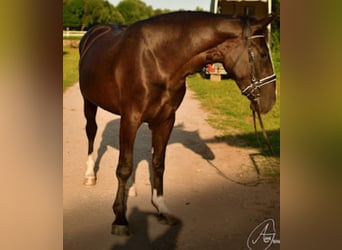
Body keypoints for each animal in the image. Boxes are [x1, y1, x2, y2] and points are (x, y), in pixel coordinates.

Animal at [78, 11, 276, 234]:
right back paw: (89, 175)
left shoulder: (165, 120)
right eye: (263, 55)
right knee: (92, 133)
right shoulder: (131, 119)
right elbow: (124, 167)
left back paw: (130, 187)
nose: (270, 100)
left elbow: (157, 163)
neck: (157, 60)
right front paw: (120, 218)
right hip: (89, 102)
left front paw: (161, 208)